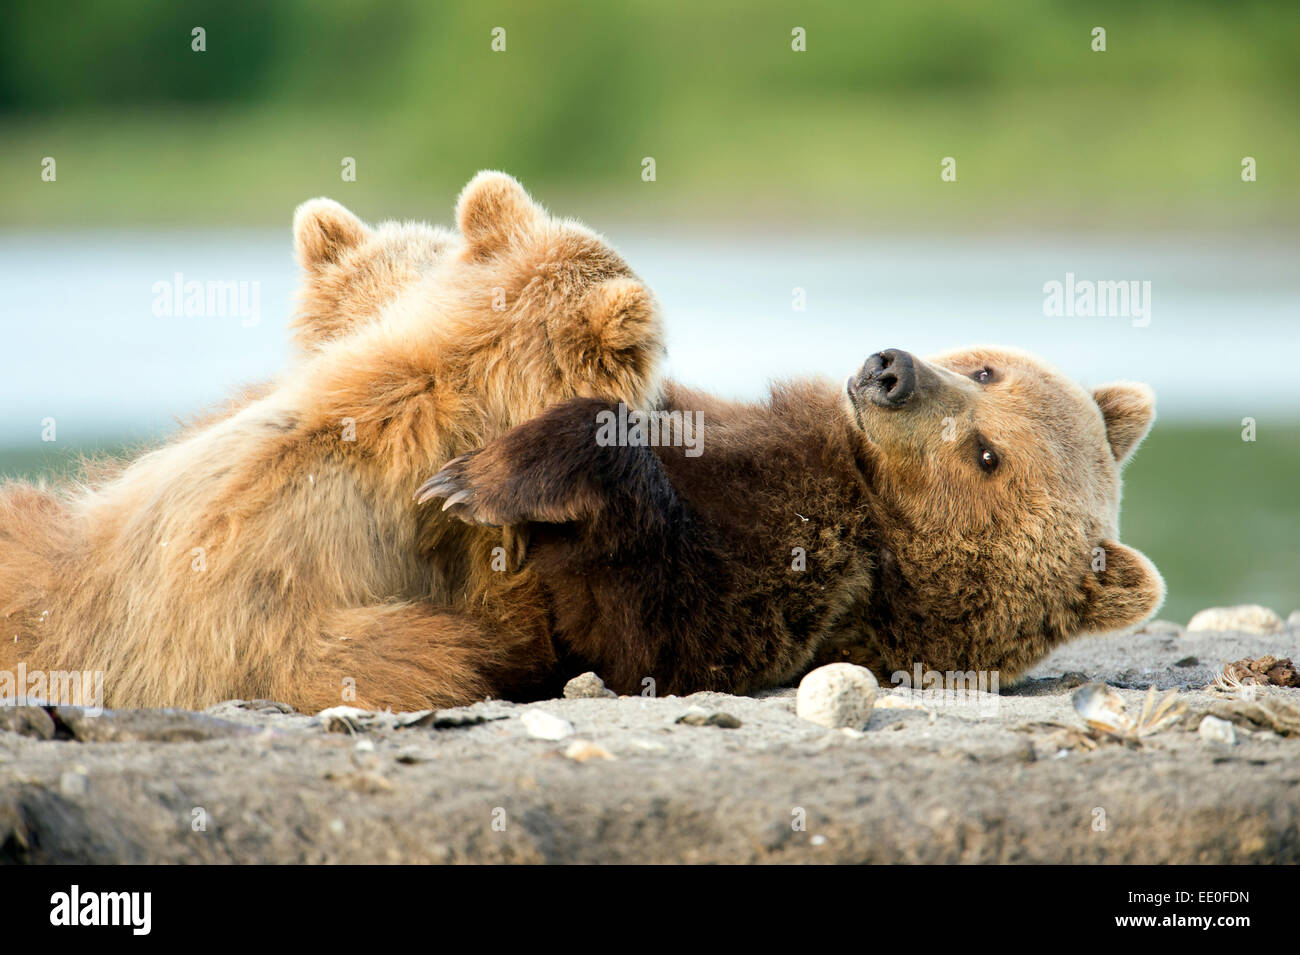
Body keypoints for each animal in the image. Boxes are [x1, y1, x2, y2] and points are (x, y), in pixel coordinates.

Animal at [416, 345, 1164, 697]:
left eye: (988, 456)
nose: (892, 371)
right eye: (986, 372)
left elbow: (645, 624)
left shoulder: (807, 566)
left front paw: (475, 480)